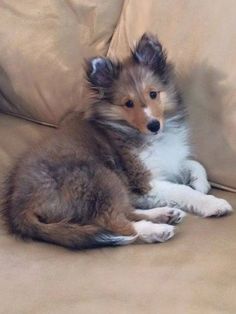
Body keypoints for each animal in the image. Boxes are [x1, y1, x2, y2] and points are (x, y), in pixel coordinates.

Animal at [0, 33, 231, 250]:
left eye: (153, 94)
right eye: (128, 103)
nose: (154, 125)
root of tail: (17, 208)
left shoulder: (166, 166)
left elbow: (194, 164)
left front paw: (201, 184)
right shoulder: (144, 181)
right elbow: (183, 191)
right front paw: (213, 203)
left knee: (126, 212)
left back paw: (165, 214)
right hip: (100, 178)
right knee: (115, 222)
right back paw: (157, 230)